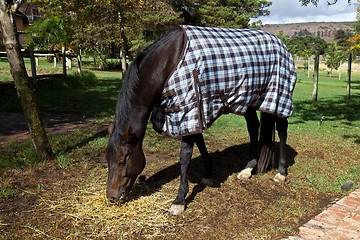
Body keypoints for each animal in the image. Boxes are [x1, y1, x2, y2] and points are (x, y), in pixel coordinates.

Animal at [105, 25, 296, 216]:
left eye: (122, 161)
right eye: (107, 159)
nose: (111, 197)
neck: (168, 63)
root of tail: (280, 43)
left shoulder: (188, 109)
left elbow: (185, 155)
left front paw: (179, 200)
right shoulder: (193, 112)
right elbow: (199, 141)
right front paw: (209, 174)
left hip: (278, 96)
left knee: (282, 130)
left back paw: (281, 172)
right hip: (248, 100)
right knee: (253, 127)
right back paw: (248, 169)